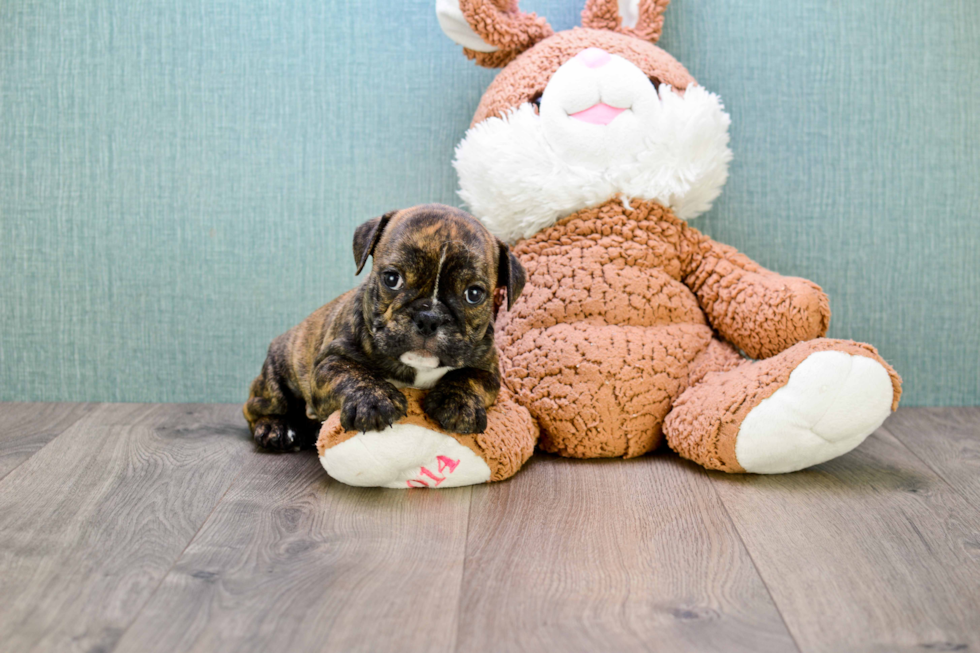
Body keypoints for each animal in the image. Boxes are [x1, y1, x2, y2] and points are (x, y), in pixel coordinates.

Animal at [242, 202, 524, 448]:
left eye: (474, 294)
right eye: (391, 279)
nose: (429, 318)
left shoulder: (489, 370)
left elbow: (469, 377)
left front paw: (459, 402)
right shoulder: (328, 362)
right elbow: (352, 373)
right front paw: (373, 400)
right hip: (277, 380)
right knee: (255, 408)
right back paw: (276, 428)